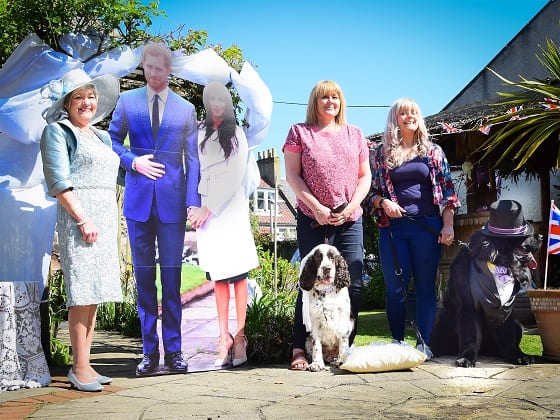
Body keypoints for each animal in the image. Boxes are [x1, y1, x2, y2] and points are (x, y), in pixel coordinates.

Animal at [428, 200, 544, 368]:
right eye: (524, 235)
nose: (541, 236)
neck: (498, 262)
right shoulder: (468, 306)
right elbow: (471, 335)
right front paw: (467, 358)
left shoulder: (506, 310)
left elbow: (508, 337)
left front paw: (519, 356)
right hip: (441, 323)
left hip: (519, 326)